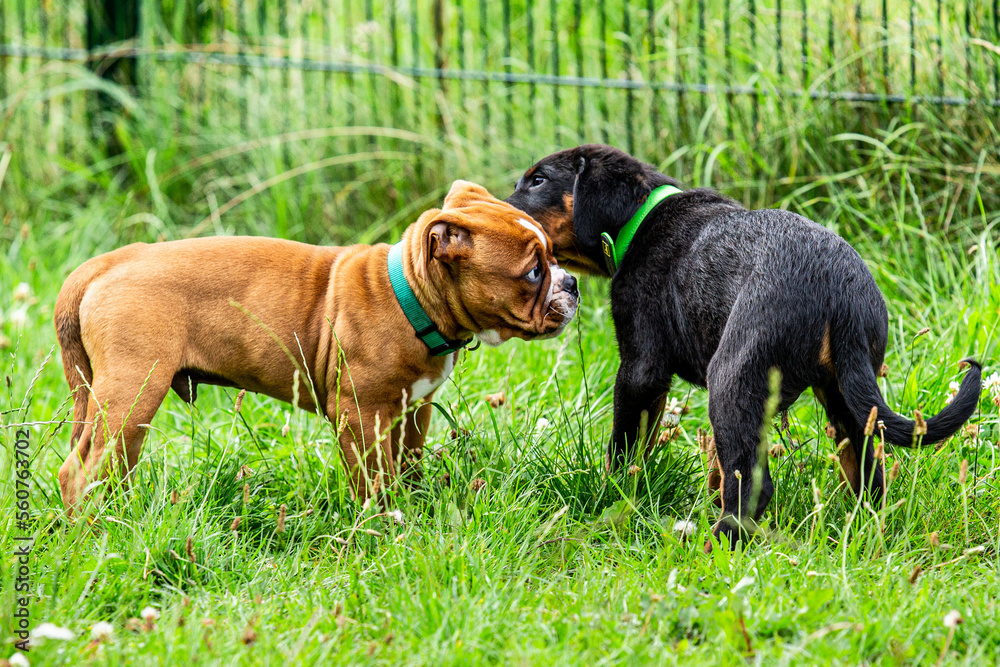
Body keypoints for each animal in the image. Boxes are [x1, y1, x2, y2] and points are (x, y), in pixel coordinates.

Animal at [54, 180, 584, 516]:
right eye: (532, 272)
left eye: (553, 260)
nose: (573, 284)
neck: (412, 296)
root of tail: (103, 263)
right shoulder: (360, 414)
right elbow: (373, 479)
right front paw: (384, 525)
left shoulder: (414, 410)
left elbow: (405, 464)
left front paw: (413, 506)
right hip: (133, 389)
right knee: (81, 470)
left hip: (111, 399)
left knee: (108, 464)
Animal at [508, 144, 984, 544]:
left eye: (538, 180)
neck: (639, 220)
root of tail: (838, 287)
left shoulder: (641, 367)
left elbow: (627, 445)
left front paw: (614, 490)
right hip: (847, 391)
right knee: (868, 471)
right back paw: (864, 529)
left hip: (731, 377)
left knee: (755, 485)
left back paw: (713, 542)